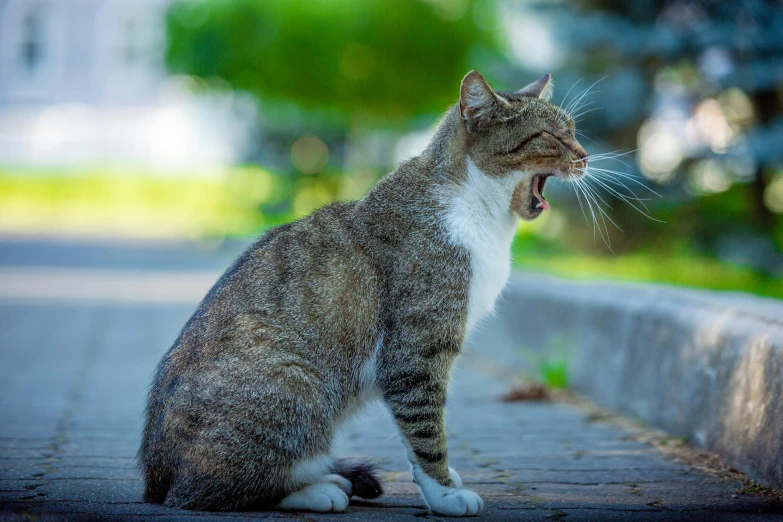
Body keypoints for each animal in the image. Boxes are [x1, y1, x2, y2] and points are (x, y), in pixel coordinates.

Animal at [139, 68, 588, 512]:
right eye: (551, 135)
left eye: (574, 131)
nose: (586, 156)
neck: (483, 217)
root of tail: (154, 480)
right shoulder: (416, 351)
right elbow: (425, 430)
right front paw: (444, 493)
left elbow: (416, 433)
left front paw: (441, 484)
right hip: (295, 385)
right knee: (205, 492)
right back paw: (317, 490)